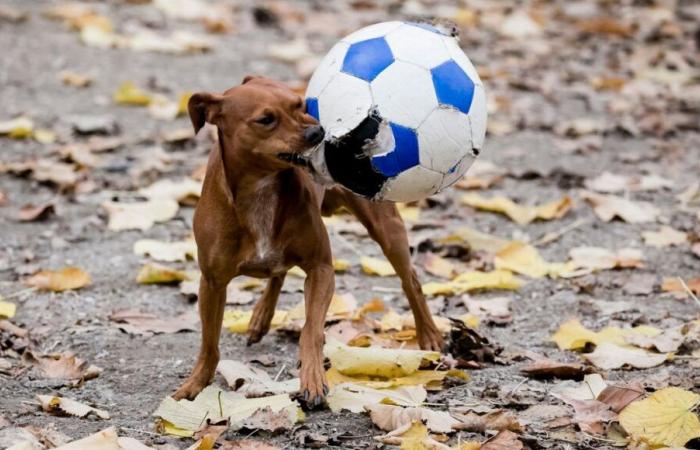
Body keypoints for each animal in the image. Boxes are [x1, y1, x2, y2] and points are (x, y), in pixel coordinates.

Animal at [175, 75, 446, 406]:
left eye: (301, 106)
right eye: (266, 119)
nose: (317, 131)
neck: (260, 190)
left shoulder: (321, 269)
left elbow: (310, 330)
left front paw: (313, 378)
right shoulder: (212, 283)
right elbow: (209, 341)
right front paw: (195, 383)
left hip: (387, 229)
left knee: (411, 281)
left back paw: (429, 334)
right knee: (277, 275)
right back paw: (260, 317)